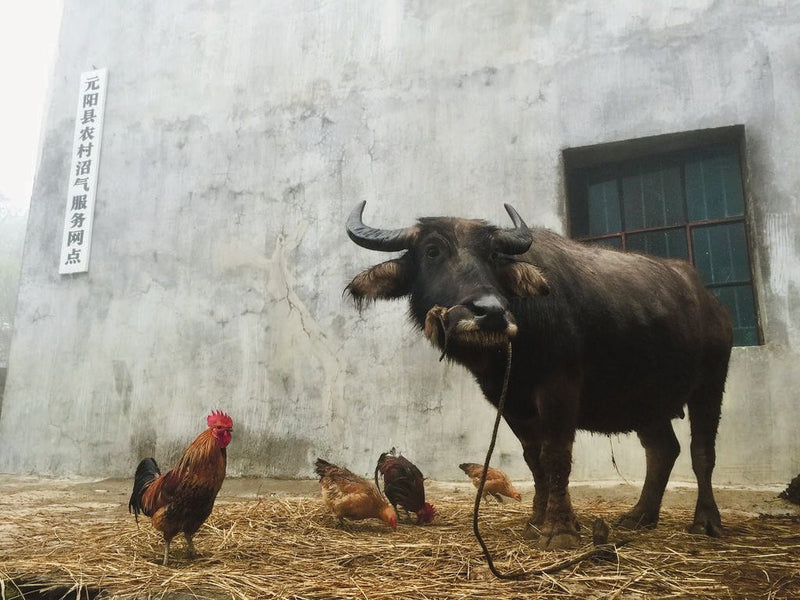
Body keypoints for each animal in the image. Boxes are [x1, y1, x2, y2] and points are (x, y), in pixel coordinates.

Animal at [344, 202, 732, 548]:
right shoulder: (510, 401)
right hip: (645, 400)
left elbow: (555, 455)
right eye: (432, 251)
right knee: (663, 449)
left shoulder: (559, 389)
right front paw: (536, 521)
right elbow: (534, 460)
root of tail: (710, 303)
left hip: (711, 384)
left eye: (493, 256)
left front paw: (559, 530)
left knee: (702, 451)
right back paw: (640, 516)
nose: (490, 312)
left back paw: (706, 522)